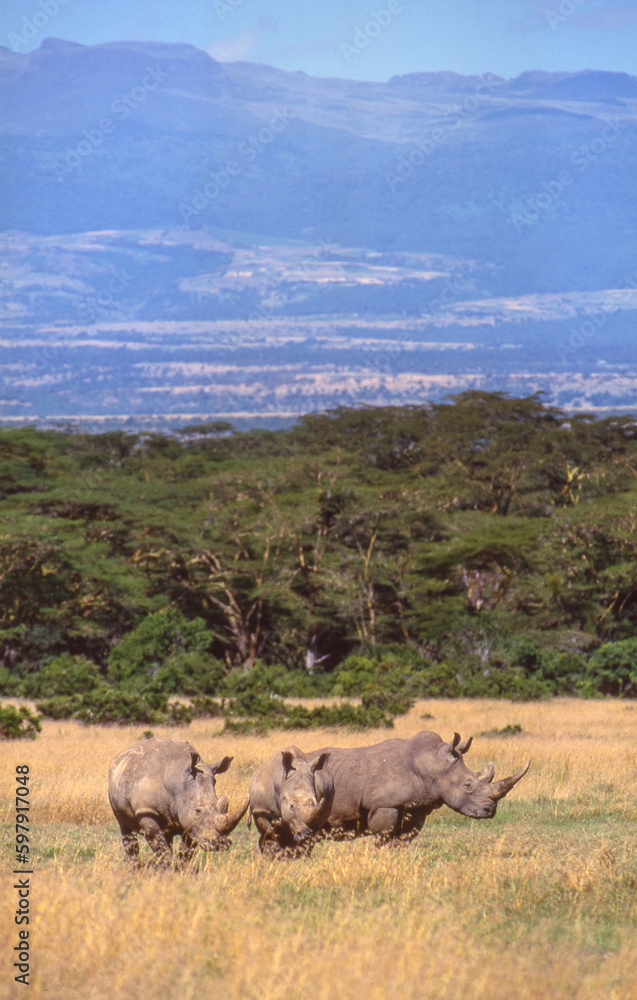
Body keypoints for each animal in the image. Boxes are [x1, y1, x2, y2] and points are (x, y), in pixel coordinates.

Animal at [108, 737, 248, 865]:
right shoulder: (147, 811)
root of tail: (120, 757)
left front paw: (182, 870)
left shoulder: (191, 822)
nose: (221, 844)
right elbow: (162, 849)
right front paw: (169, 870)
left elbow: (185, 852)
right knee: (126, 829)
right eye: (198, 811)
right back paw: (133, 867)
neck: (178, 782)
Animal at [307, 730, 529, 846]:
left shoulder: (416, 807)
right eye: (467, 785)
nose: (490, 811)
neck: (431, 763)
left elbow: (403, 839)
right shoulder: (384, 806)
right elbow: (384, 837)